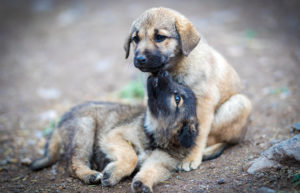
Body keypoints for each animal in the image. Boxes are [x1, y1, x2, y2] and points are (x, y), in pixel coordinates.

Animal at [123, 6, 252, 171]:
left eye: (159, 37)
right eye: (135, 39)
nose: (139, 59)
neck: (176, 66)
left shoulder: (204, 103)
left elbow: (198, 134)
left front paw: (191, 158)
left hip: (239, 104)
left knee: (221, 140)